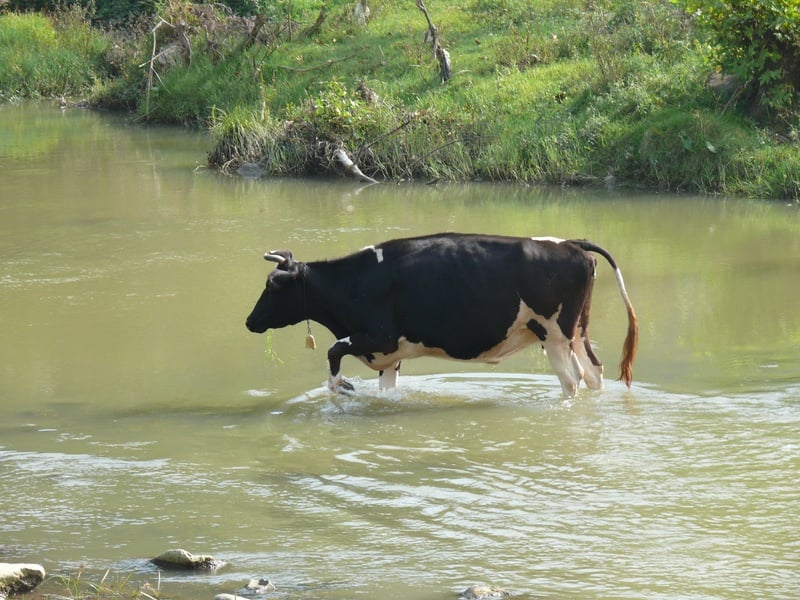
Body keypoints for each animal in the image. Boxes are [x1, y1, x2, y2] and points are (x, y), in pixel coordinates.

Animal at [244, 234, 636, 398]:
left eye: (272, 286)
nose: (249, 321)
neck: (355, 283)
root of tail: (571, 243)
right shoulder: (390, 353)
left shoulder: (380, 335)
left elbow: (333, 350)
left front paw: (343, 386)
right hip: (575, 331)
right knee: (593, 372)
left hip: (553, 335)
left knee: (571, 382)